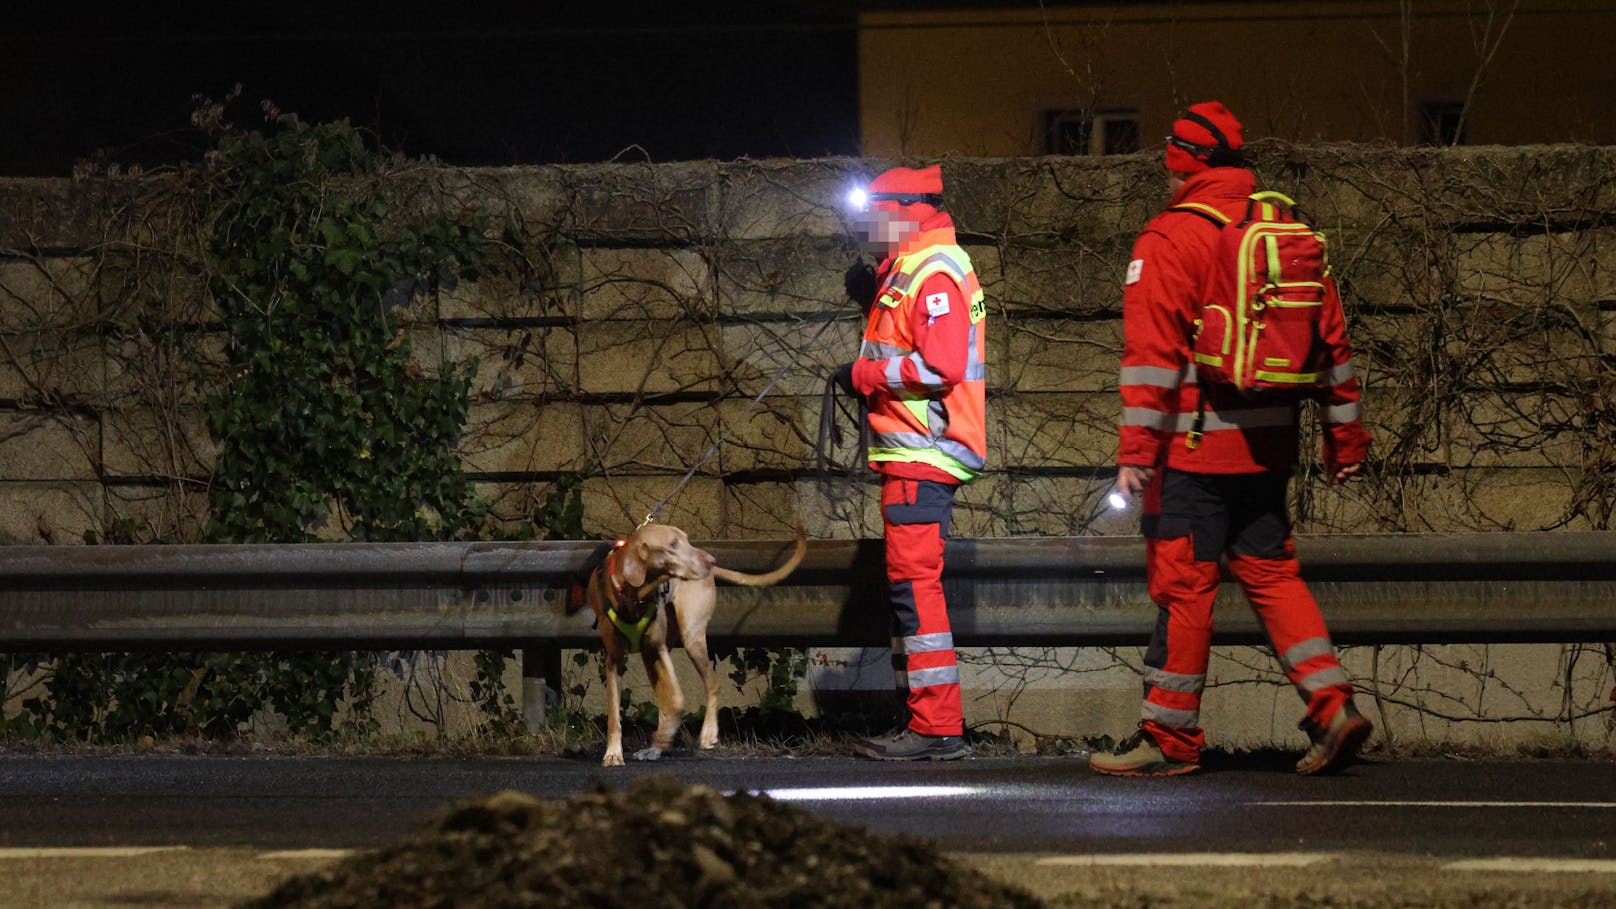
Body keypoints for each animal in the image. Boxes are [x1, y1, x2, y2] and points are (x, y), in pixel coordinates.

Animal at [568, 517, 808, 763]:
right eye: (673, 544)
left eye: (686, 539)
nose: (711, 561)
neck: (635, 594)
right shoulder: (615, 659)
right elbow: (615, 714)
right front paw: (614, 753)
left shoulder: (658, 648)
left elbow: (677, 699)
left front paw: (666, 733)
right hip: (653, 656)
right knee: (665, 699)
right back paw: (656, 746)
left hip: (691, 638)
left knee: (711, 684)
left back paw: (705, 733)